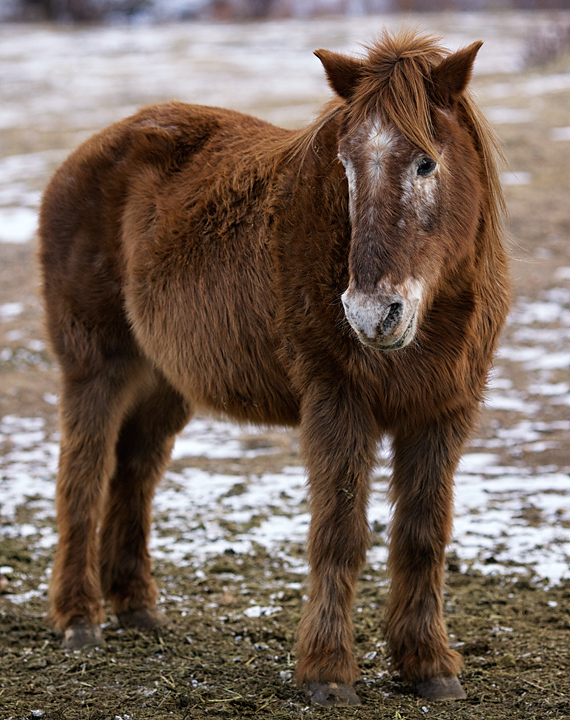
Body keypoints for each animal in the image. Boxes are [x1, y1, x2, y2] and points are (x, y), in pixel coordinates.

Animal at [40, 29, 510, 708]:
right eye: (345, 166)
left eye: (426, 163)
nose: (370, 314)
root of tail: (84, 154)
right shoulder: (338, 401)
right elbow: (339, 533)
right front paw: (327, 672)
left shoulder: (443, 411)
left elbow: (423, 535)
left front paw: (427, 665)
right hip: (95, 368)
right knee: (85, 473)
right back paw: (80, 619)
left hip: (164, 381)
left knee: (133, 472)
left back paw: (136, 607)